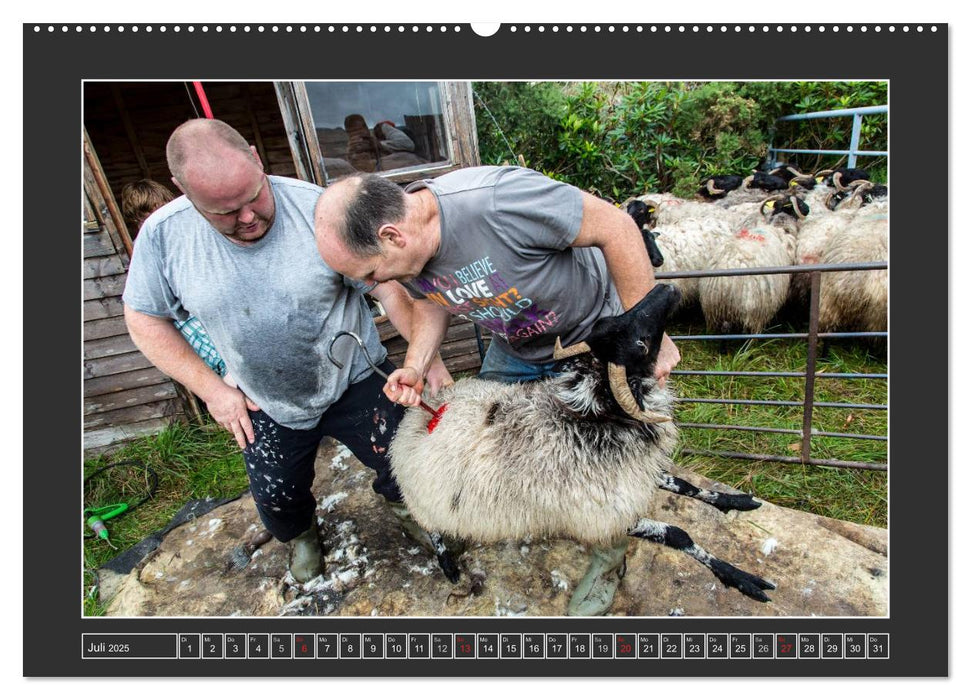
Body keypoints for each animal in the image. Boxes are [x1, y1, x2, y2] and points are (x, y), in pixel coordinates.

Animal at [388, 284, 776, 608]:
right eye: (641, 344)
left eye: (609, 320)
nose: (667, 287)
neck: (587, 425)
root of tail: (421, 411)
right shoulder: (604, 516)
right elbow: (679, 535)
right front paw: (741, 578)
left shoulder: (636, 476)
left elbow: (685, 484)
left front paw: (733, 501)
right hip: (425, 501)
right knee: (430, 528)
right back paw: (447, 563)